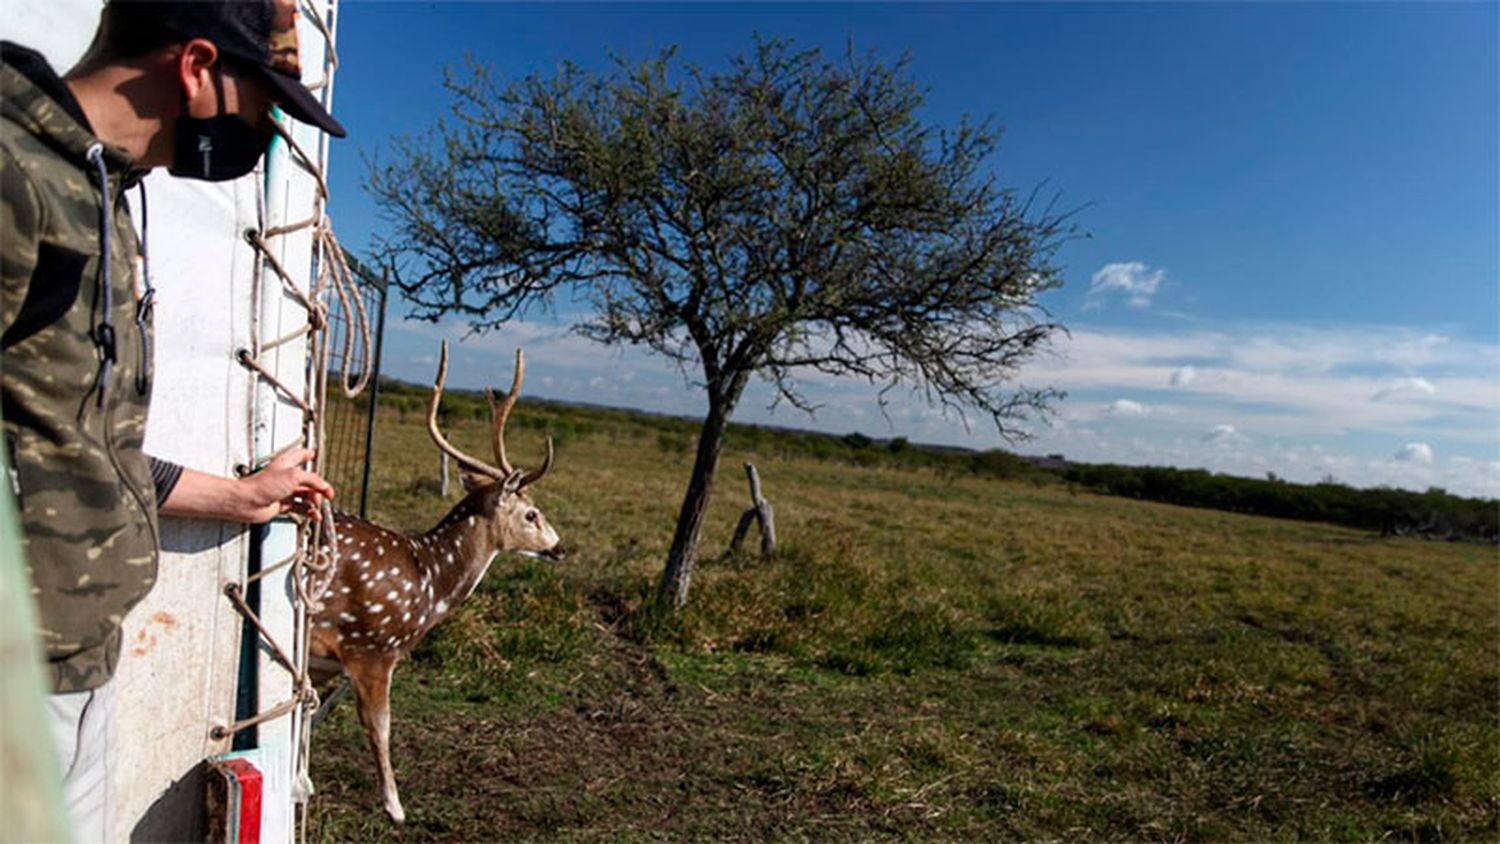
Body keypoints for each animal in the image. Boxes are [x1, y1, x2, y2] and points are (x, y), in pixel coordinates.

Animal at [309, 340, 564, 821]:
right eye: (531, 513)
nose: (560, 548)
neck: (429, 585)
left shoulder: (323, 660)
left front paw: (305, 785)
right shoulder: (371, 649)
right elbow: (380, 728)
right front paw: (395, 808)